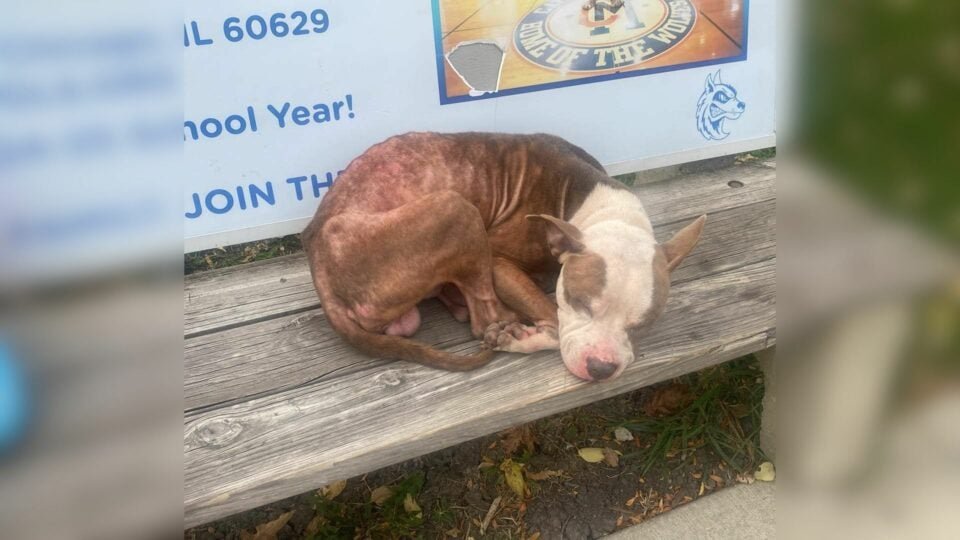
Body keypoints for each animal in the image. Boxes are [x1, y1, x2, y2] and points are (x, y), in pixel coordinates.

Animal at [304, 132, 700, 382]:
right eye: (580, 303)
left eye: (642, 324)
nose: (601, 368)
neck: (599, 205)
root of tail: (316, 255)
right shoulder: (500, 263)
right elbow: (554, 319)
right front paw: (524, 337)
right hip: (457, 209)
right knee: (484, 320)